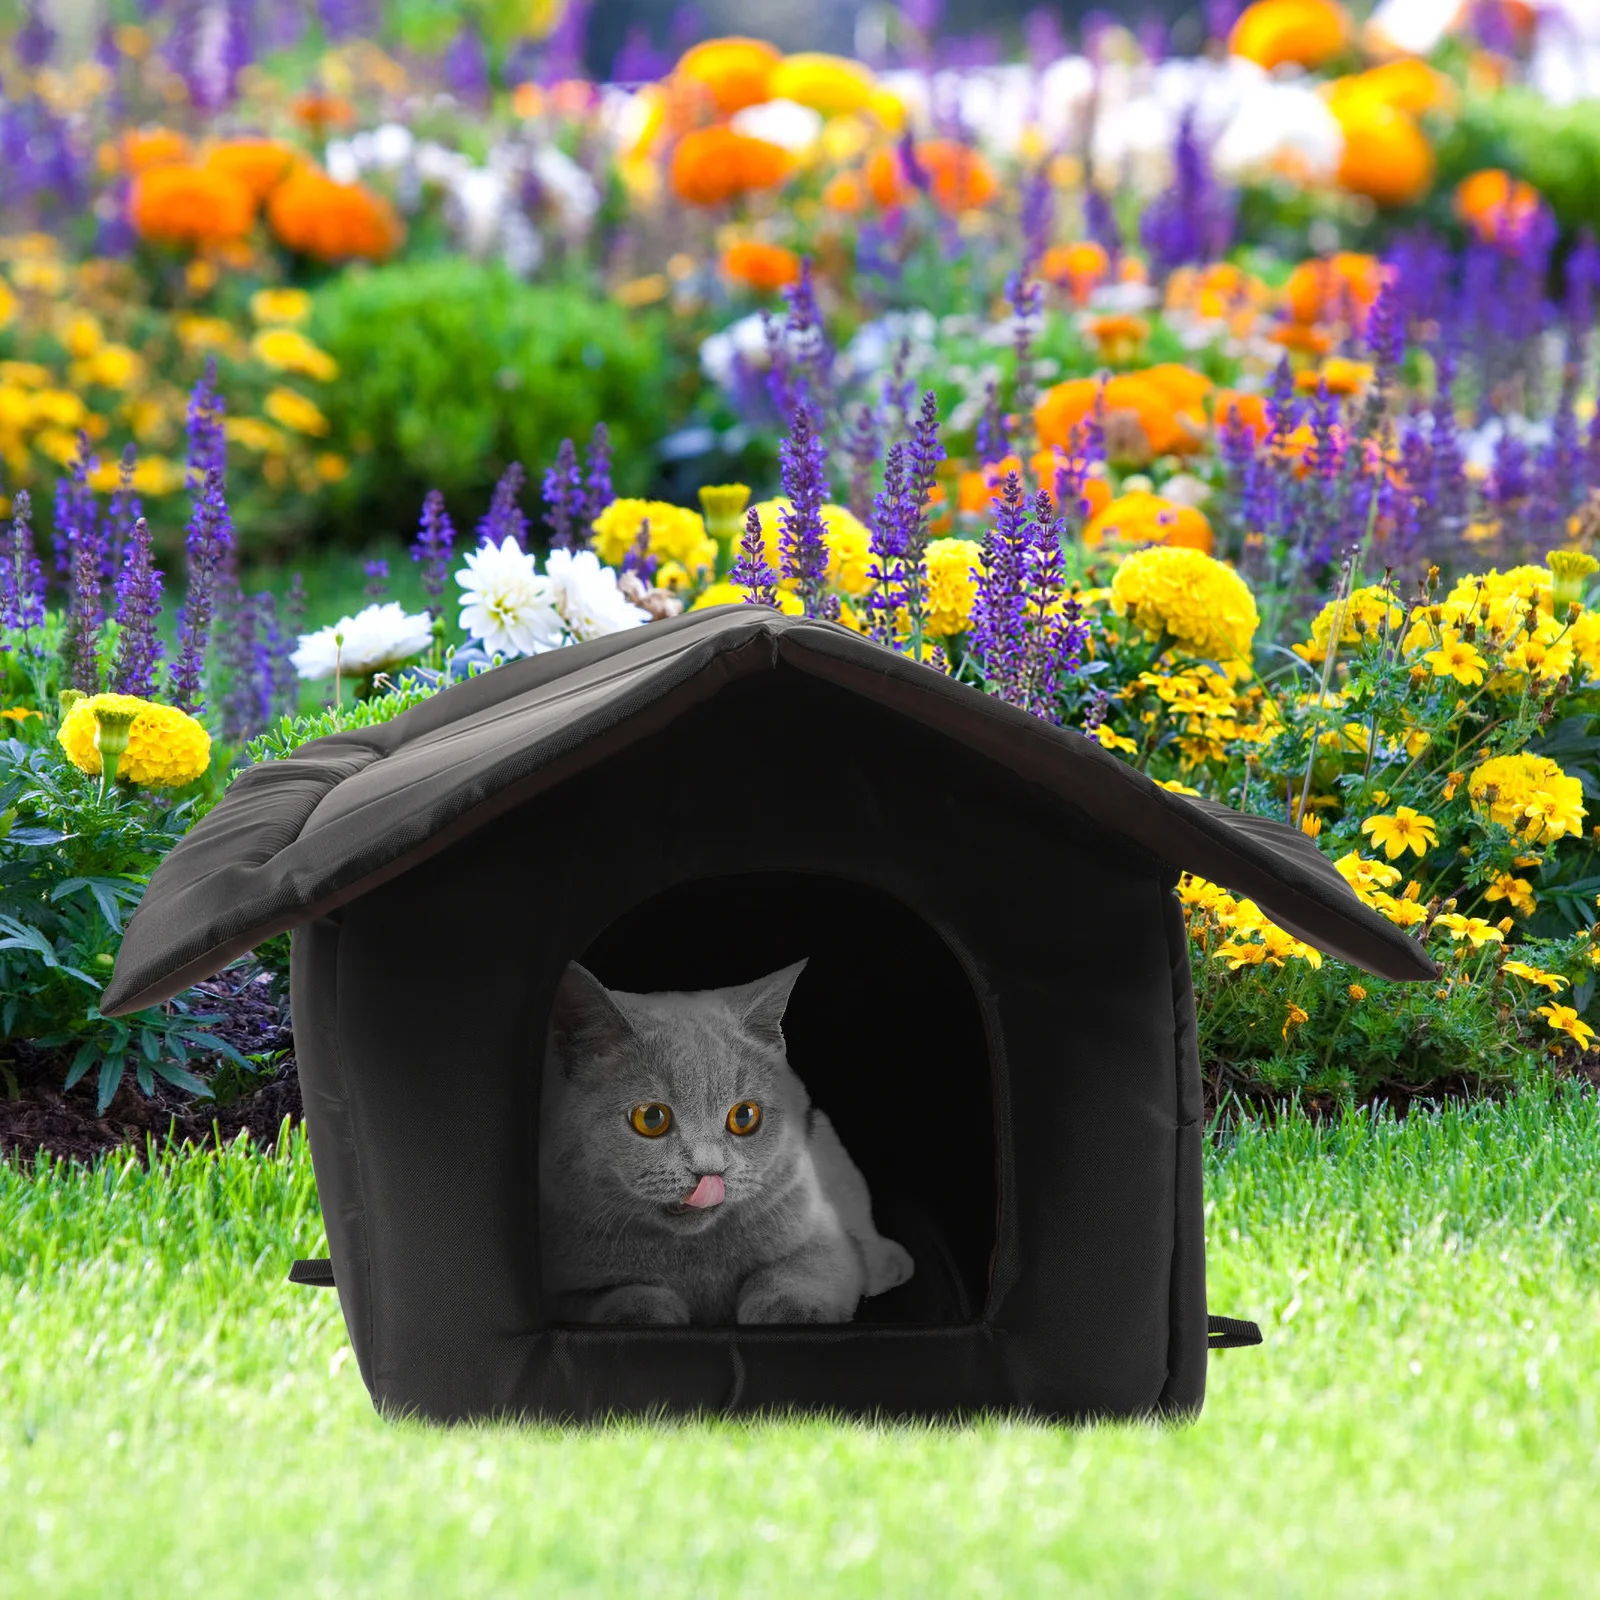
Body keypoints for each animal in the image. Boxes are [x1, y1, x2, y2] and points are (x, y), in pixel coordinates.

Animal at [537, 960, 915, 1324]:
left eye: (744, 1116)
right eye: (651, 1118)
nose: (709, 1170)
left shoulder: (822, 1234)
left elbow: (796, 1271)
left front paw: (791, 1313)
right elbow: (617, 1296)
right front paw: (640, 1313)